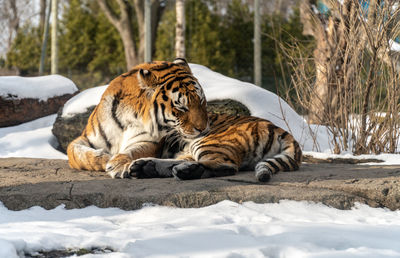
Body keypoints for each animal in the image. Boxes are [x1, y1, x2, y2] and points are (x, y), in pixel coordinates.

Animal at [67, 58, 208, 178]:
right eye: (181, 107)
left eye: (201, 101)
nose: (203, 129)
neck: (127, 116)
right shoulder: (86, 139)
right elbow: (76, 152)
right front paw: (105, 158)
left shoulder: (149, 141)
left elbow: (133, 150)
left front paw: (118, 164)